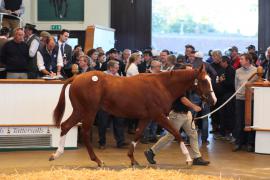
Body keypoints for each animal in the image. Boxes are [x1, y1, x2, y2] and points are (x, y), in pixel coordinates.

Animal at [49, 65, 217, 167]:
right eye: (204, 80)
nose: (213, 100)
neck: (162, 85)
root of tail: (76, 78)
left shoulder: (146, 117)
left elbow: (137, 135)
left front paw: (133, 159)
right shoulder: (159, 116)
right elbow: (176, 133)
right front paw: (188, 159)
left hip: (79, 110)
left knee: (65, 126)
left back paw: (56, 154)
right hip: (88, 111)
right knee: (83, 132)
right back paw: (98, 161)